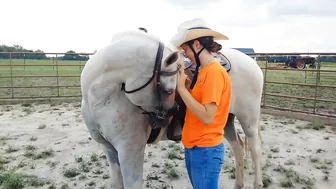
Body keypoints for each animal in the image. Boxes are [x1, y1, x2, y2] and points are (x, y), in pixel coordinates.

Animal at [80, 30, 264, 188]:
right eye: (169, 90)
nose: (173, 111)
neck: (99, 98)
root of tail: (252, 62)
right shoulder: (109, 150)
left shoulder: (130, 151)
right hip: (226, 122)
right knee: (238, 147)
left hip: (249, 120)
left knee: (256, 151)